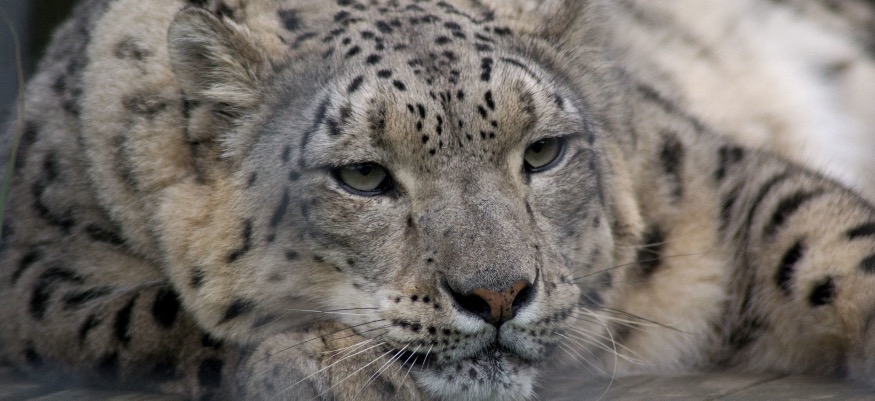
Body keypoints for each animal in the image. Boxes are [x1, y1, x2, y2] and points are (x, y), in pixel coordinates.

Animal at [1, 0, 875, 400]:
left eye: (543, 151)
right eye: (362, 176)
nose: (498, 294)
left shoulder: (702, 188)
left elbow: (825, 240)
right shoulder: (39, 276)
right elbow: (144, 319)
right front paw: (331, 366)